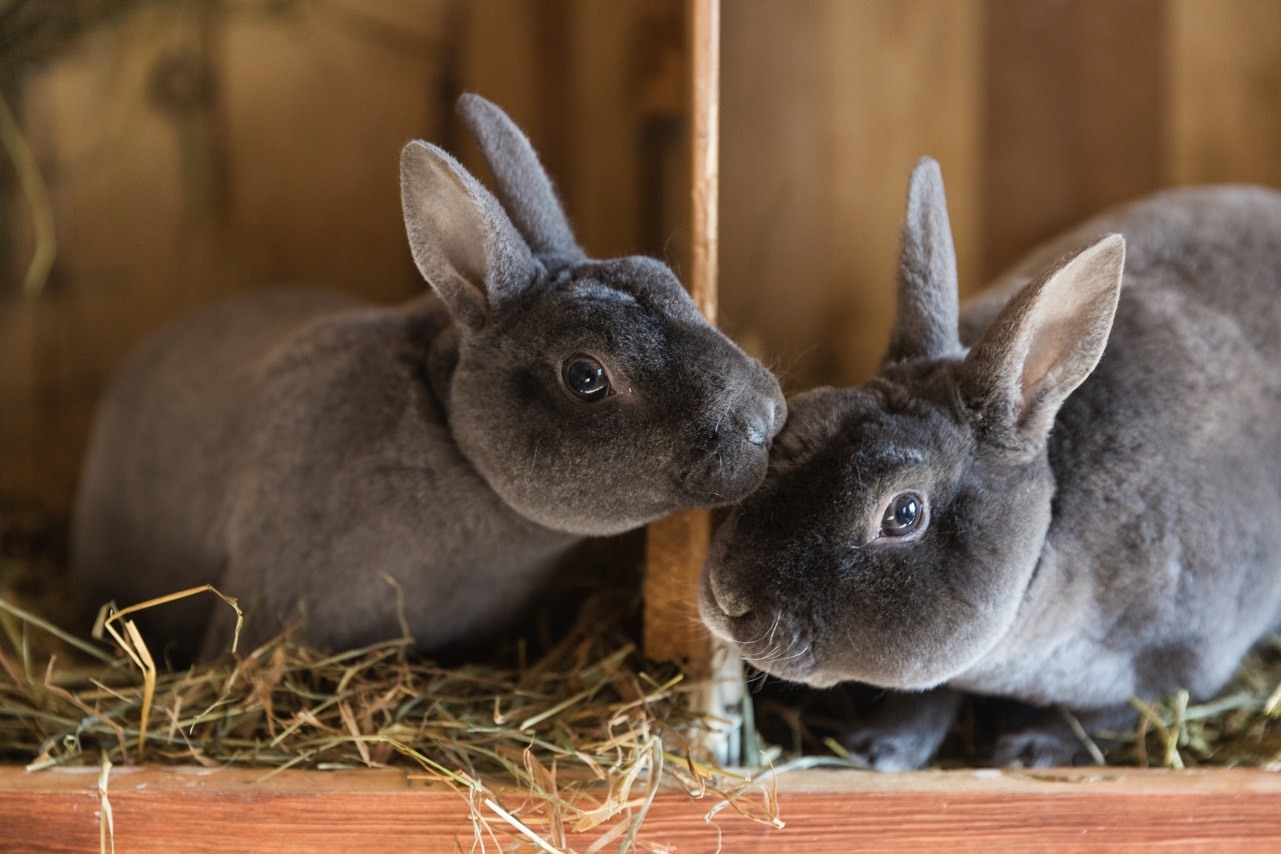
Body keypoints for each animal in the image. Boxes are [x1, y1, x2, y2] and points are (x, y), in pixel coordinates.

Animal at [701, 156, 1281, 773]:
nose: (728, 599)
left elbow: (1110, 716)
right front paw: (879, 748)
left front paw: (1030, 751)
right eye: (798, 420)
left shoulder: (1186, 659)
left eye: (903, 513)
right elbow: (931, 695)